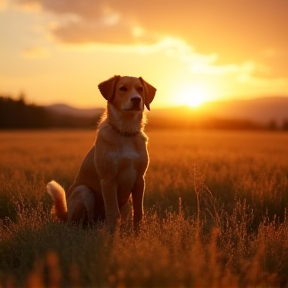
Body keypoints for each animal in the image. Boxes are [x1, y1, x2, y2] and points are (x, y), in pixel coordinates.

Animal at [46, 75, 156, 231]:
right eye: (123, 88)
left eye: (140, 89)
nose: (136, 99)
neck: (125, 133)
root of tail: (66, 216)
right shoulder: (108, 179)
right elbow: (113, 212)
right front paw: (112, 234)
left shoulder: (140, 180)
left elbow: (139, 212)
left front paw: (137, 233)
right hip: (84, 191)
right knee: (82, 223)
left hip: (126, 203)